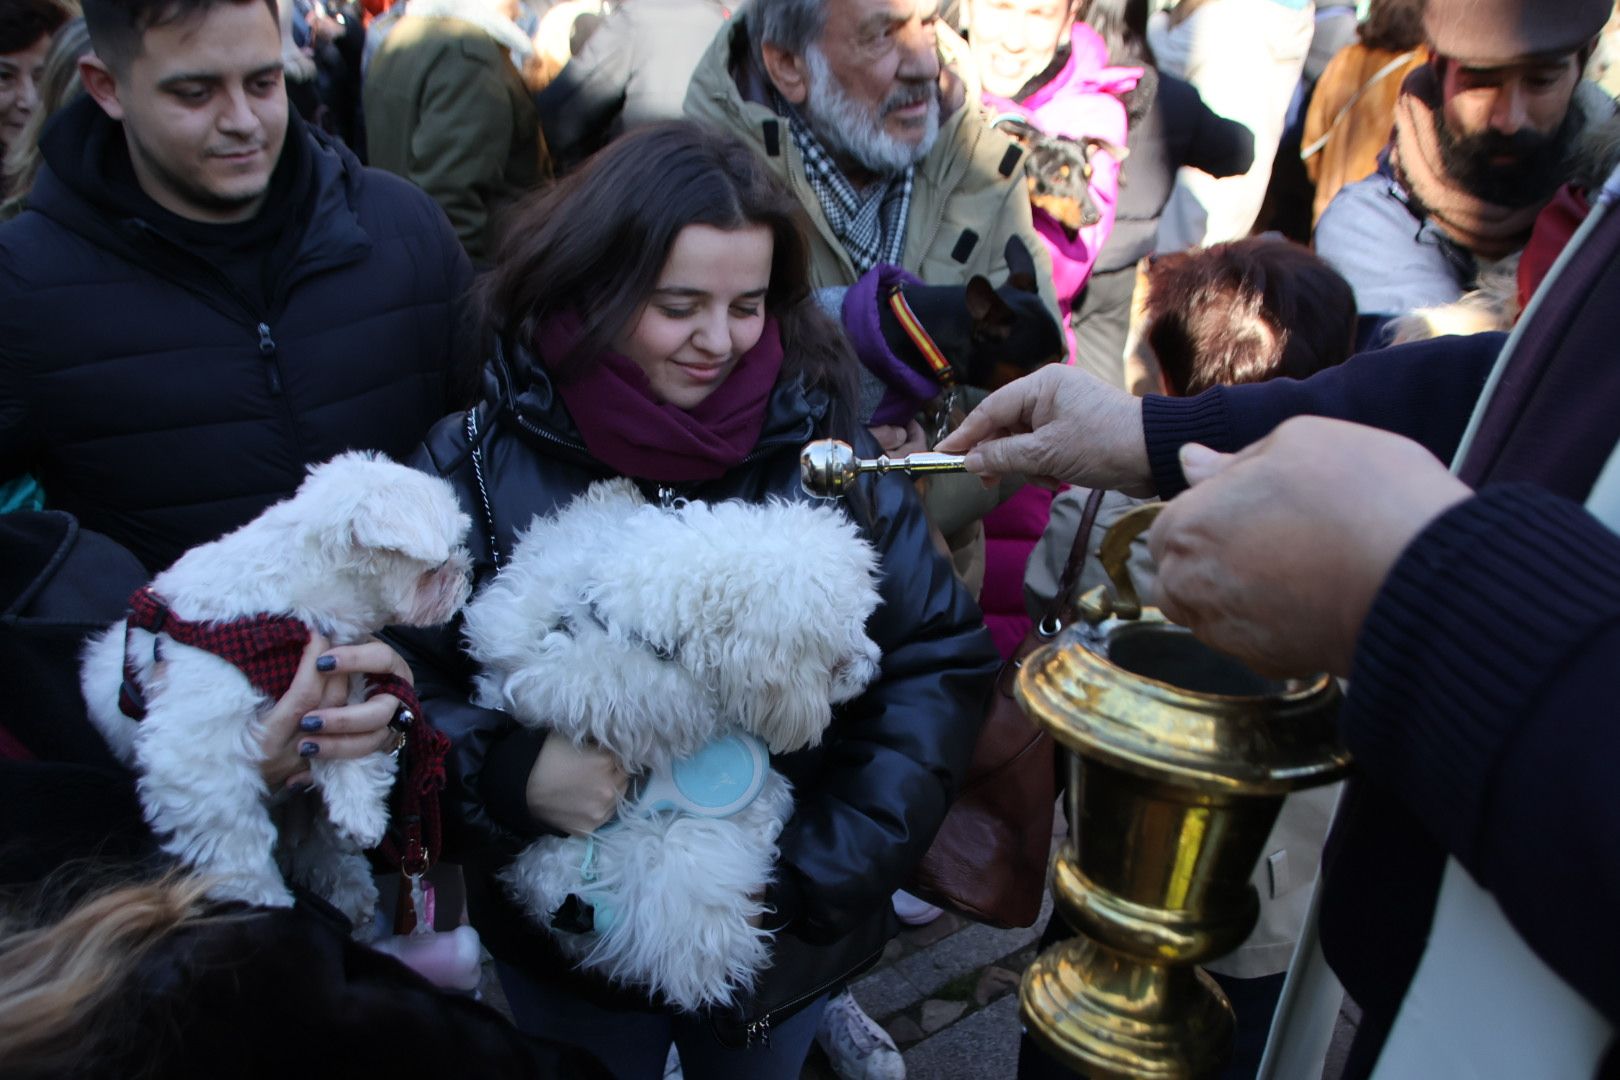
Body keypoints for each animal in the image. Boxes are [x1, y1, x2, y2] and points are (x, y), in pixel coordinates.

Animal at [79, 453, 473, 926]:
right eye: (439, 564)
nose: (468, 573)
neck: (288, 611)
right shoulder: (195, 748)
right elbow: (229, 827)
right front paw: (260, 897)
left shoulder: (337, 683)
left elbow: (348, 752)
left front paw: (360, 809)